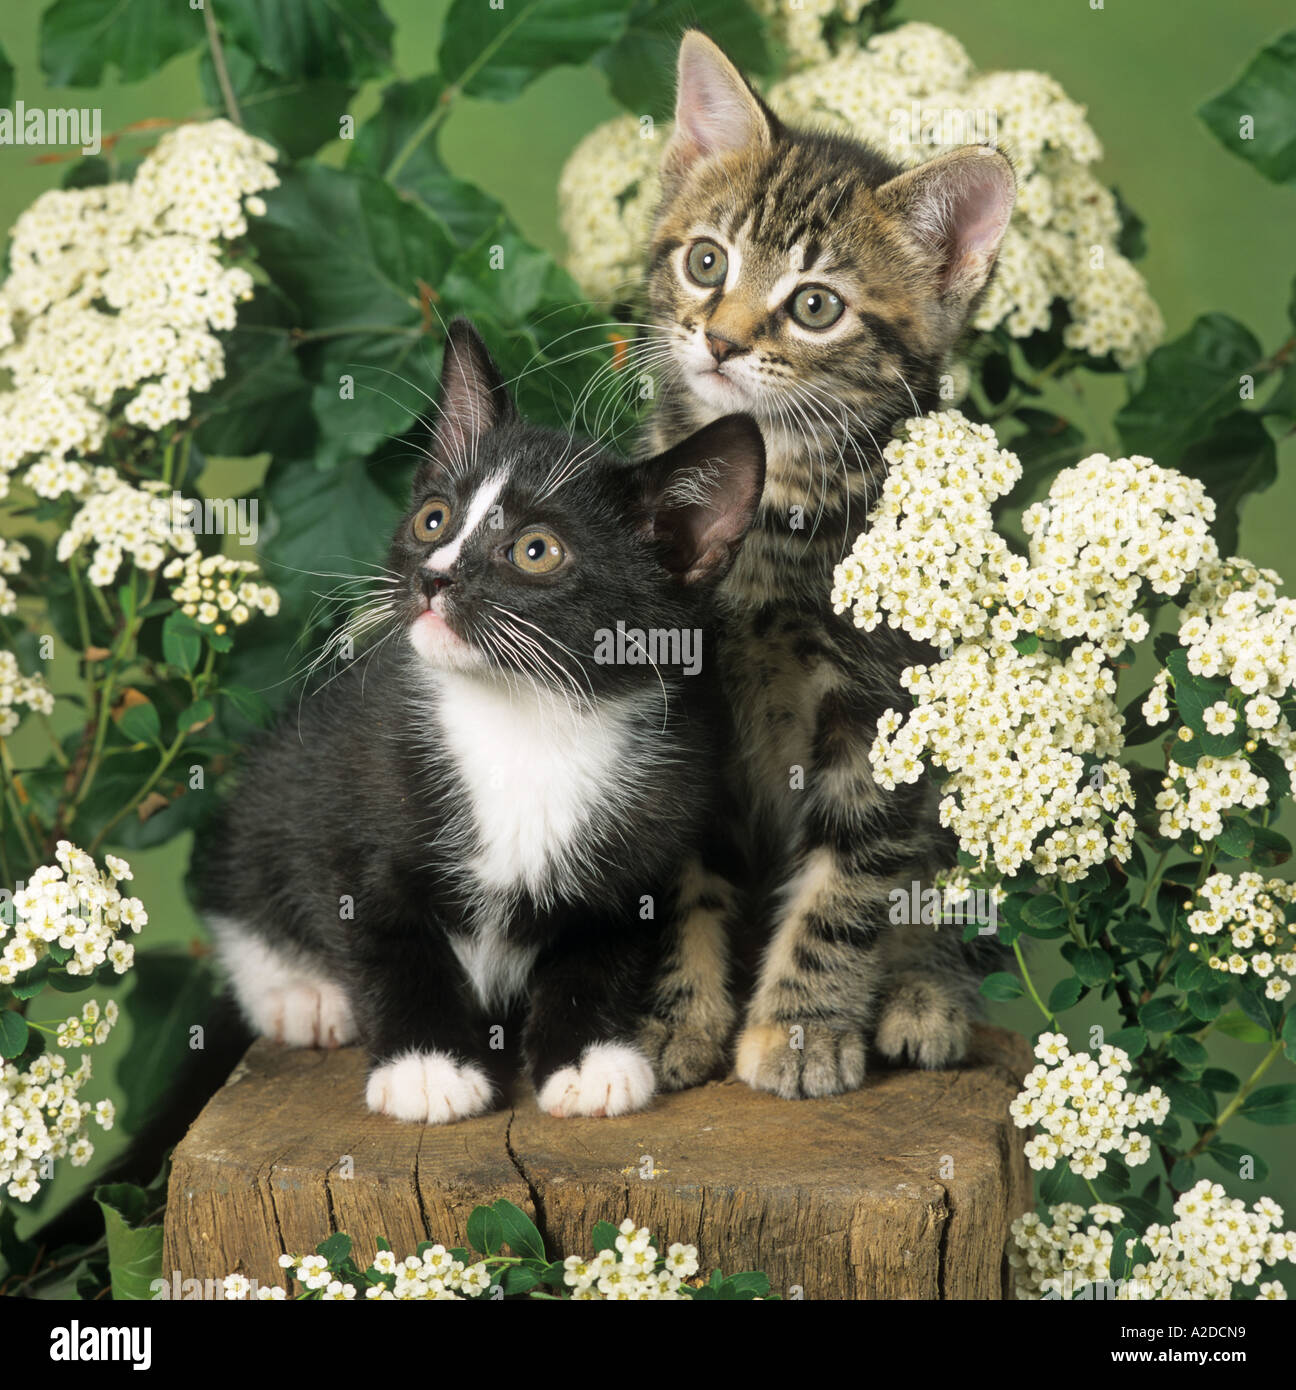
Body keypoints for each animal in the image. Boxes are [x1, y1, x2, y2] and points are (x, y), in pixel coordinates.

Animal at [198, 319, 762, 1123]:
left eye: (534, 550)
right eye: (432, 518)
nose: (432, 577)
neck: (527, 719)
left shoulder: (653, 829)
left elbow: (599, 951)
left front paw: (588, 1058)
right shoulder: (359, 790)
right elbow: (390, 942)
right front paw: (426, 1066)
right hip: (288, 772)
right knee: (243, 867)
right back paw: (298, 993)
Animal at [636, 29, 1023, 1095]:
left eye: (814, 305)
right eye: (706, 259)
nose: (721, 340)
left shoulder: (884, 712)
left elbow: (848, 880)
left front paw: (801, 1031)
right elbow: (677, 874)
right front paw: (669, 1019)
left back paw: (924, 995)